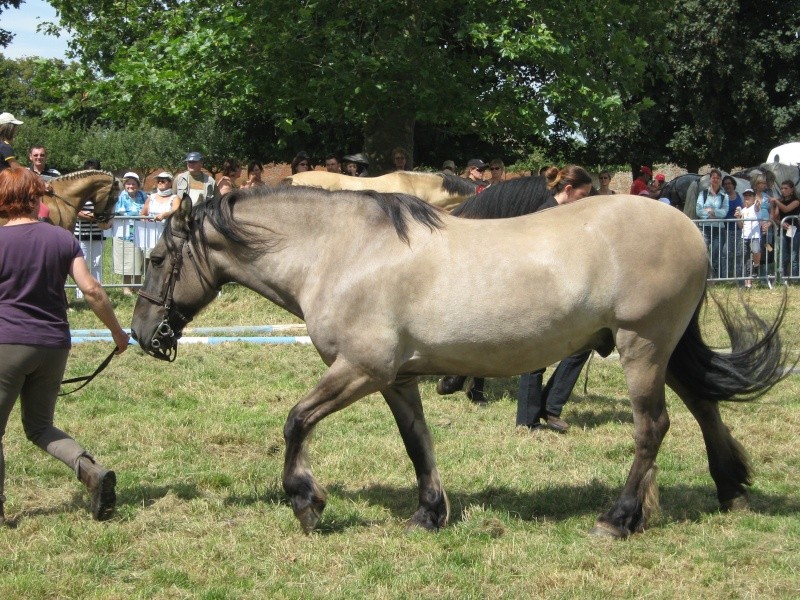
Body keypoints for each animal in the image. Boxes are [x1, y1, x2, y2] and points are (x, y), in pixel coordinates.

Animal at [130, 186, 788, 540]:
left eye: (158, 259)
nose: (140, 334)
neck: (342, 253)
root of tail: (689, 228)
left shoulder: (360, 370)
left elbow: (296, 421)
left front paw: (306, 501)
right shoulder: (395, 379)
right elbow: (416, 442)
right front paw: (428, 512)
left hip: (642, 347)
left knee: (653, 428)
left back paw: (618, 517)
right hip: (664, 350)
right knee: (704, 408)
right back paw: (730, 490)